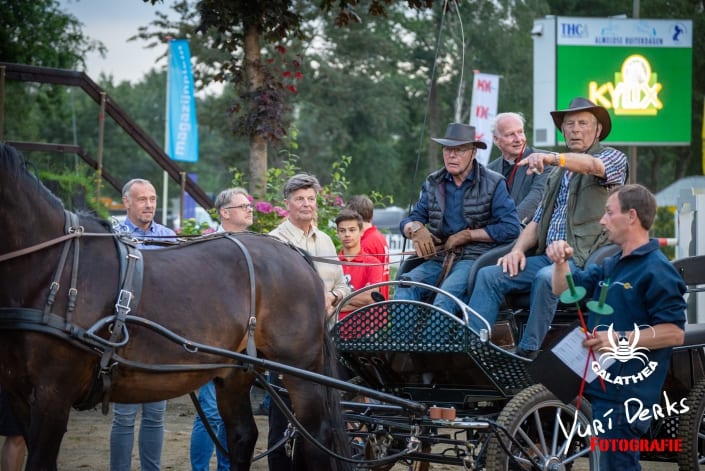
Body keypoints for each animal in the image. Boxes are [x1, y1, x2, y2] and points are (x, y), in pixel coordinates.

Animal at [0, 144, 350, 471]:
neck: (52, 268)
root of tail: (295, 253)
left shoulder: (53, 394)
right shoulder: (20, 395)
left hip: (300, 369)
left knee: (315, 438)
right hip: (237, 371)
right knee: (242, 435)